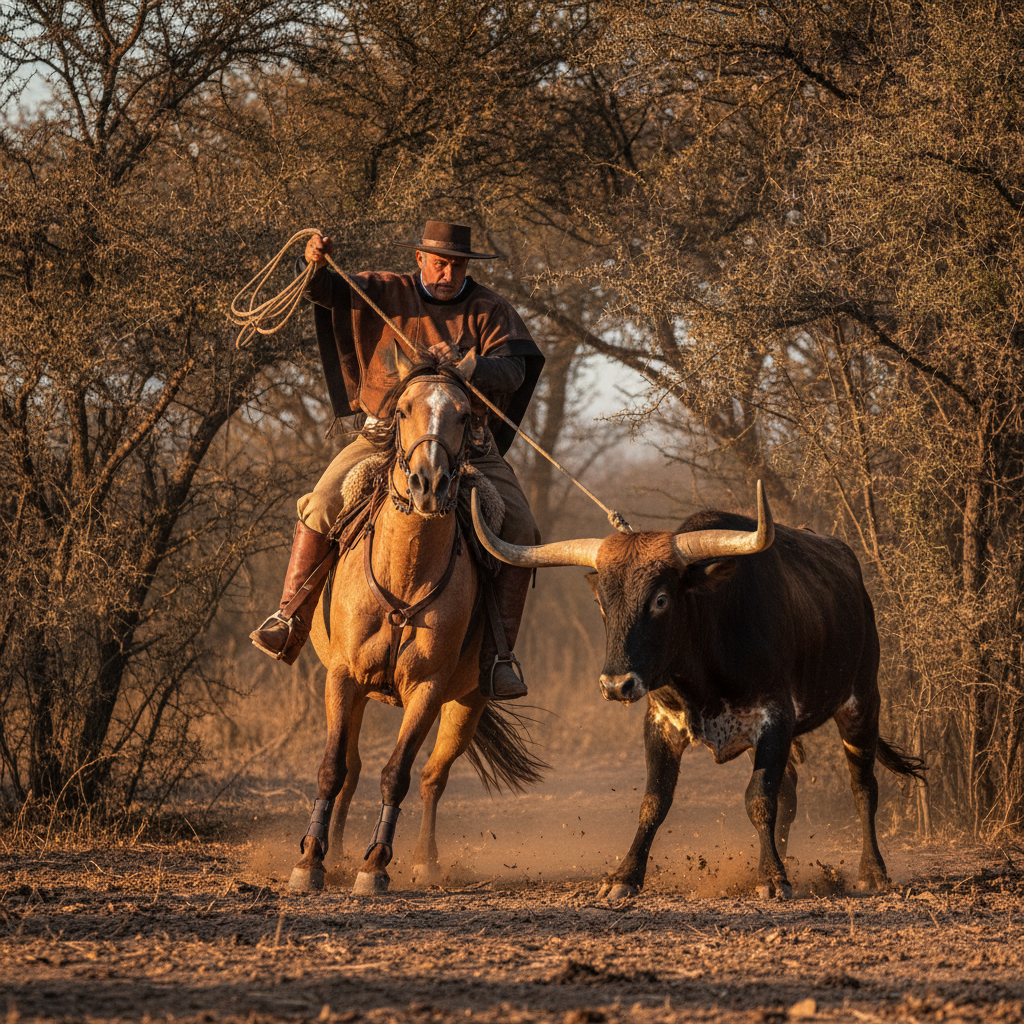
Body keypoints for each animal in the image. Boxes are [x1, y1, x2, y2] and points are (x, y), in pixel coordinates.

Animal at [288, 360, 545, 894]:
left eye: (465, 414)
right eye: (403, 410)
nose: (430, 483)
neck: (406, 571)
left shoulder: (427, 689)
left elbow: (399, 774)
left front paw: (375, 864)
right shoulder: (342, 678)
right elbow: (331, 769)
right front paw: (310, 860)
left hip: (468, 702)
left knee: (432, 777)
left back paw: (426, 861)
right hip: (360, 693)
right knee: (352, 770)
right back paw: (334, 852)